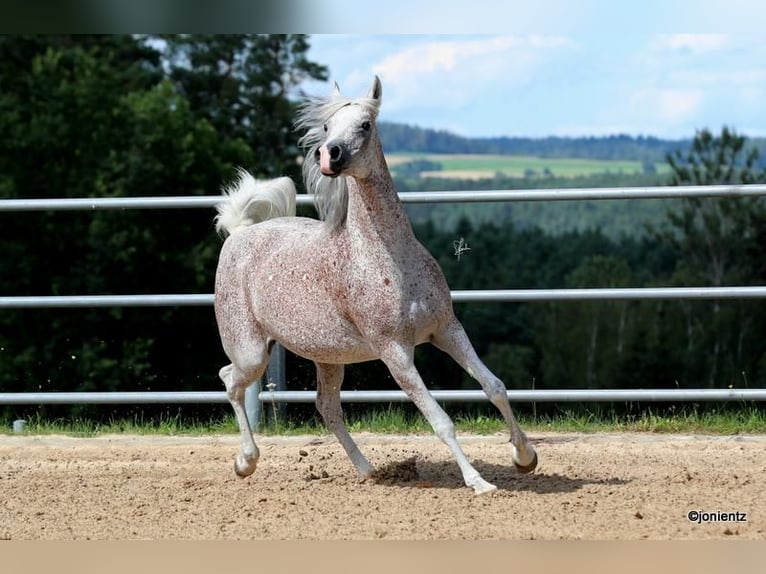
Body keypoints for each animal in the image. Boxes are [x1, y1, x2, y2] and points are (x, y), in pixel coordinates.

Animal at [213, 75, 536, 496]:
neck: (389, 259)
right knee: (230, 381)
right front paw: (479, 481)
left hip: (327, 357)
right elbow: (440, 420)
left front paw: (525, 457)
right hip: (252, 352)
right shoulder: (394, 350)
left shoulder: (446, 329)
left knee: (326, 406)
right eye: (327, 127)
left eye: (365, 125)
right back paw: (245, 462)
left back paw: (367, 470)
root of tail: (239, 234)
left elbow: (495, 386)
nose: (329, 156)